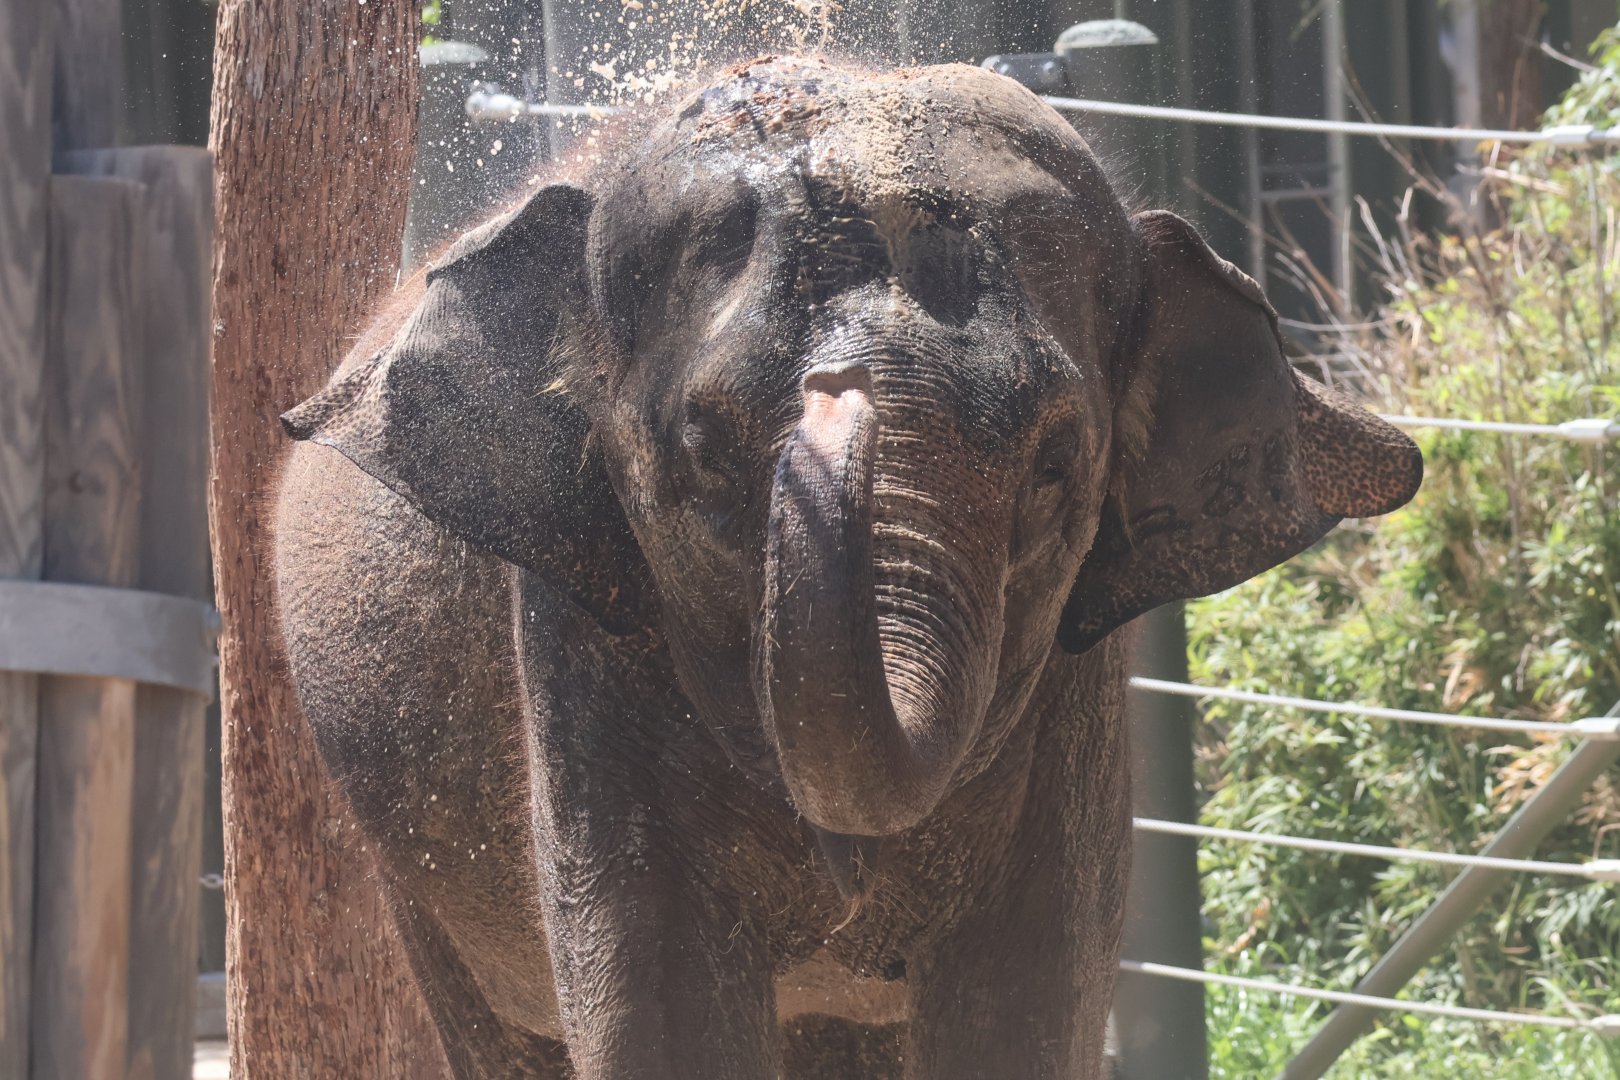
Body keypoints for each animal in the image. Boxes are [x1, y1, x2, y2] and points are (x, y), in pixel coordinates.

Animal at [274, 55, 1422, 1079]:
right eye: (704, 448)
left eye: (1056, 469)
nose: (839, 389)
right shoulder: (579, 629)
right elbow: (663, 1011)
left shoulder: (1073, 690)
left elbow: (1025, 999)